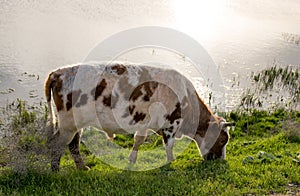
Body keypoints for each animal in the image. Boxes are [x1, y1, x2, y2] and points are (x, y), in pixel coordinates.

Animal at [44, 61, 234, 172]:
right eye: (223, 140)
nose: (221, 161)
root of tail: (57, 72)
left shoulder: (144, 123)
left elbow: (138, 140)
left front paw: (132, 160)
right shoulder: (170, 124)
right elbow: (169, 145)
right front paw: (170, 163)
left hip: (76, 123)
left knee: (73, 144)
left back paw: (82, 167)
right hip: (68, 123)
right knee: (57, 143)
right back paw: (55, 171)